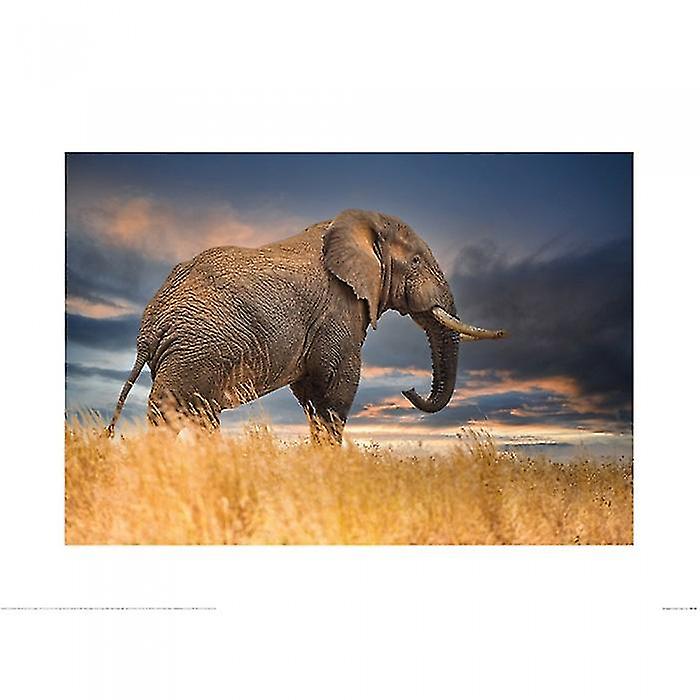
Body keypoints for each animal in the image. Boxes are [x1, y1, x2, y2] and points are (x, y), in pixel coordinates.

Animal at [107, 209, 506, 443]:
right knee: (169, 411)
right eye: (417, 261)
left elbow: (312, 393)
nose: (409, 389)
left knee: (199, 414)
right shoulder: (339, 307)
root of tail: (149, 326)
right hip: (197, 346)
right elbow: (335, 386)